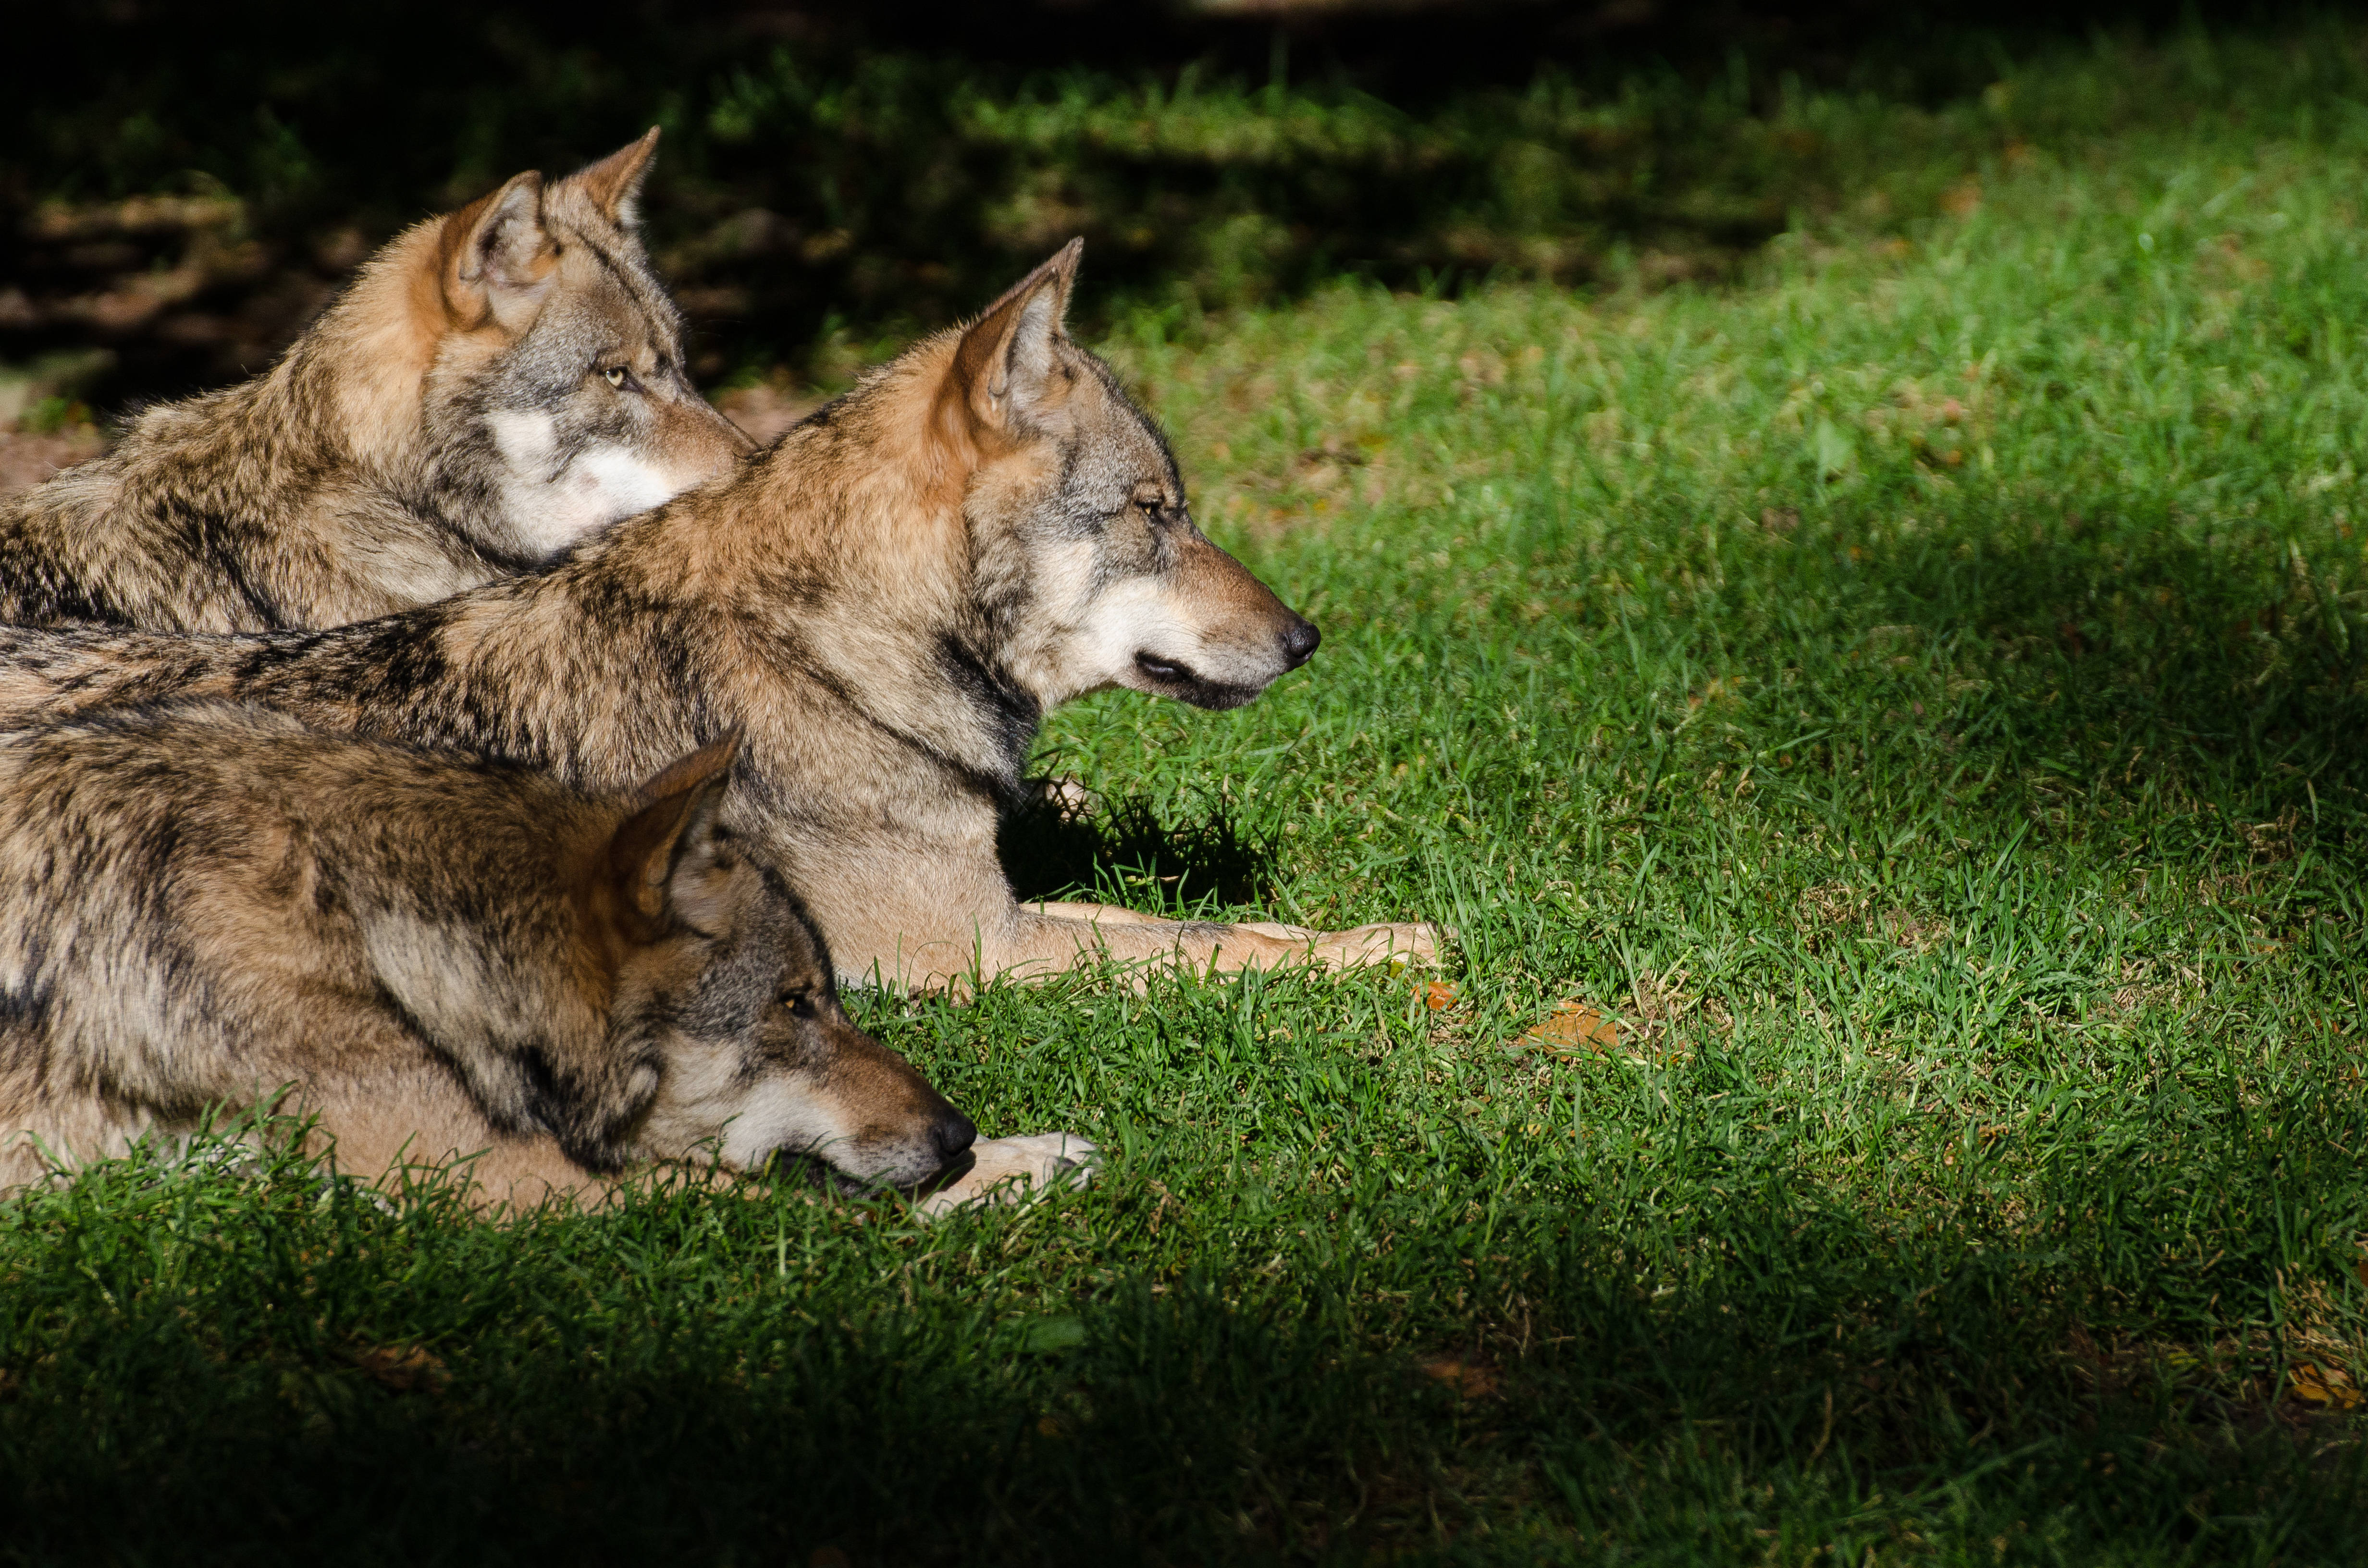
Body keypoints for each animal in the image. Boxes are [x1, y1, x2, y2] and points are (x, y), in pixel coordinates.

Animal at [0, 243, 1437, 990]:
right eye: (1153, 512)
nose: (1308, 640)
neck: (832, 654)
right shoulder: (970, 954)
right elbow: (1217, 949)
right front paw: (1398, 952)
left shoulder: (1001, 913)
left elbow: (1221, 928)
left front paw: (1383, 930)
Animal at [0, 704, 1037, 1211]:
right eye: (795, 1003)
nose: (954, 1131)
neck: (358, 924)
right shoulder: (479, 1182)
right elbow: (800, 1199)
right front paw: (1032, 1163)